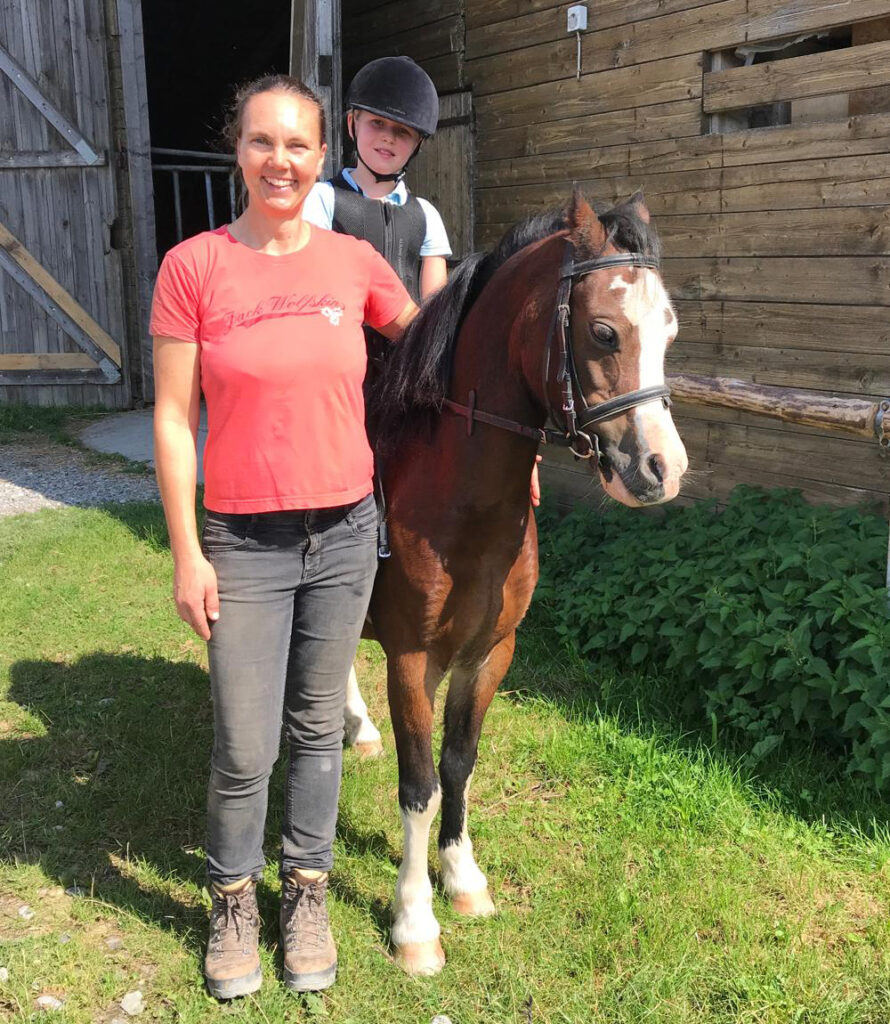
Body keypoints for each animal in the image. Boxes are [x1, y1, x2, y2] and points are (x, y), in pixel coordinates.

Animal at [358, 193, 688, 974]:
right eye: (603, 331)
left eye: (669, 329)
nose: (663, 470)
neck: (463, 500)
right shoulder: (410, 661)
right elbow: (418, 786)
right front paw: (414, 923)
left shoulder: (489, 655)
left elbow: (458, 764)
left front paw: (462, 880)